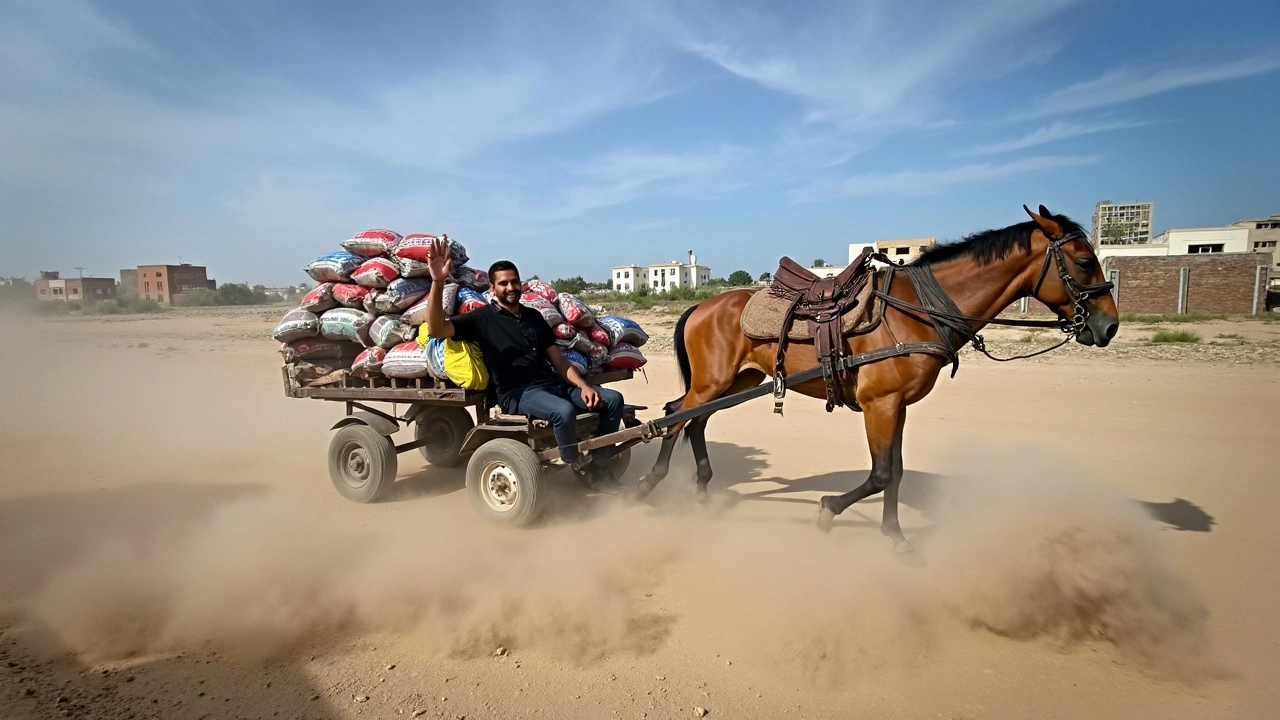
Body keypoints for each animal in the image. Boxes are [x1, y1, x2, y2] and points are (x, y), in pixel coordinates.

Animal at [629, 204, 1121, 550]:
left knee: (691, 420)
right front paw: (829, 510)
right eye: (1083, 262)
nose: (1109, 326)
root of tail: (700, 304)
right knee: (671, 416)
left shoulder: (896, 406)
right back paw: (649, 485)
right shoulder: (879, 404)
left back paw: (701, 489)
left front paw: (896, 537)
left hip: (737, 381)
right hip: (713, 383)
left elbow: (895, 473)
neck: (918, 311)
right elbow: (882, 474)